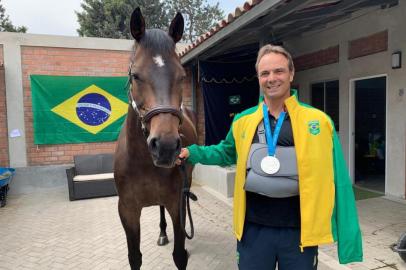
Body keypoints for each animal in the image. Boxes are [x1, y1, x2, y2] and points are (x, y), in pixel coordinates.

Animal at [113, 6, 197, 270]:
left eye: (182, 76)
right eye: (136, 76)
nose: (166, 146)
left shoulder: (176, 203)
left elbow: (180, 255)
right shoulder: (127, 210)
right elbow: (134, 257)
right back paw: (161, 233)